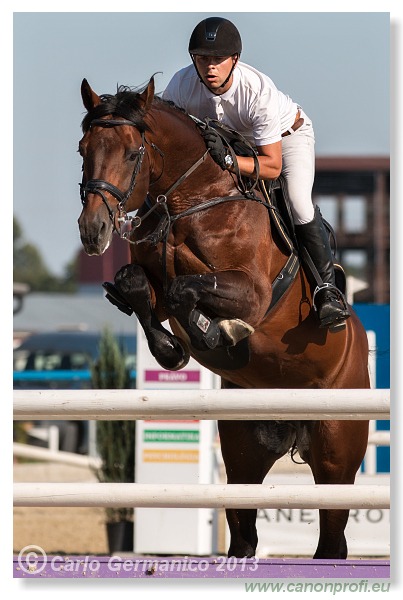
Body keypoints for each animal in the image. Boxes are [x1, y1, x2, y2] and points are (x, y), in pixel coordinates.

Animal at [77, 77, 370, 560]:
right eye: (83, 148)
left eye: (133, 153)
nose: (93, 231)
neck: (189, 201)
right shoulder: (151, 284)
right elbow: (137, 284)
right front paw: (172, 349)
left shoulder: (252, 295)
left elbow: (186, 291)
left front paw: (216, 332)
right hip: (243, 452)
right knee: (244, 531)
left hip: (336, 456)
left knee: (332, 539)